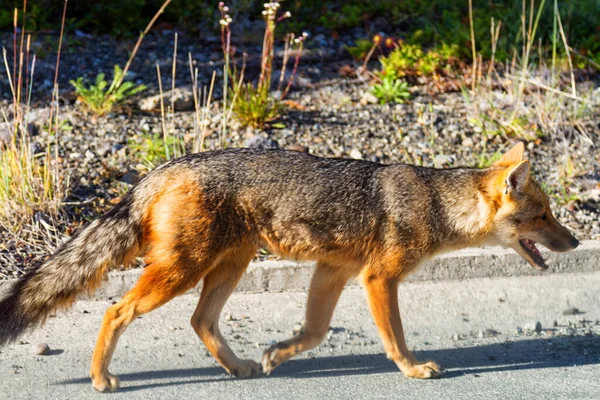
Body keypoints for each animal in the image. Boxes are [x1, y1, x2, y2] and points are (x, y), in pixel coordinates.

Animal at [1, 143, 580, 390]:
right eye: (544, 216)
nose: (574, 242)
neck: (436, 203)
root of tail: (167, 164)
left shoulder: (334, 271)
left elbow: (315, 331)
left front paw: (276, 355)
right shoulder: (378, 278)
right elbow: (393, 337)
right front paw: (413, 369)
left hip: (225, 268)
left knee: (201, 321)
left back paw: (239, 369)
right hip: (181, 273)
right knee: (114, 311)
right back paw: (100, 378)